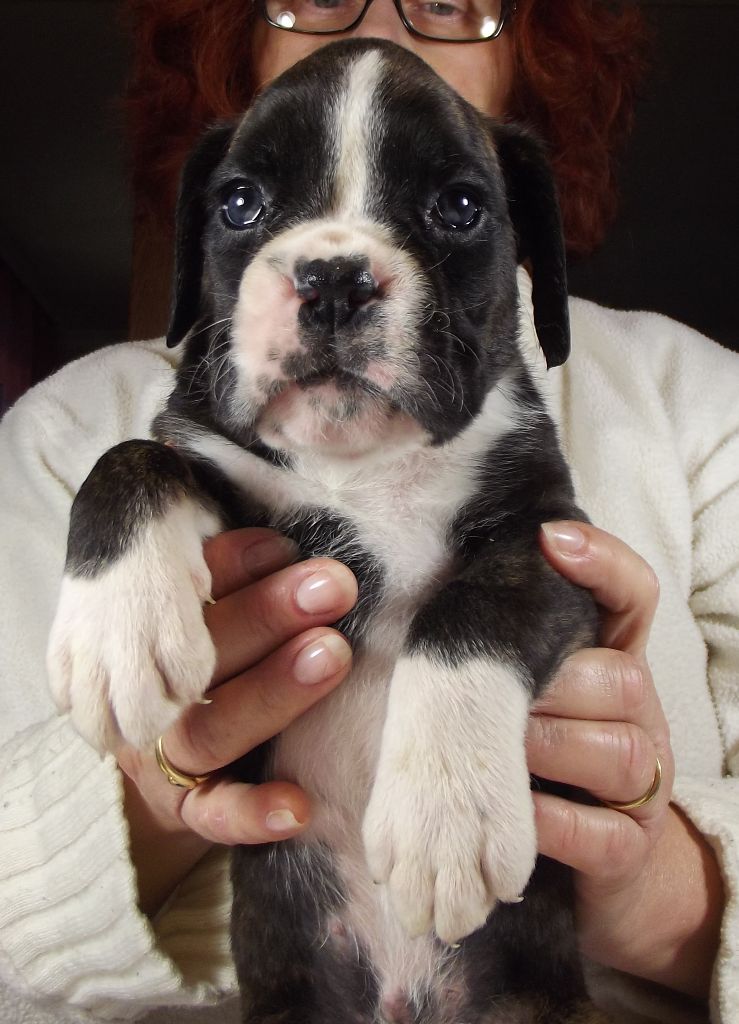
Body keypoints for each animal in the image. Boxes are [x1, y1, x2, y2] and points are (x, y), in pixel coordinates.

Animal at [50, 39, 605, 1024]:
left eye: (459, 206)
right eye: (239, 203)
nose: (335, 277)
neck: (364, 462)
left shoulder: (549, 538)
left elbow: (470, 615)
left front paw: (443, 814)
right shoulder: (217, 465)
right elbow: (130, 458)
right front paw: (117, 633)